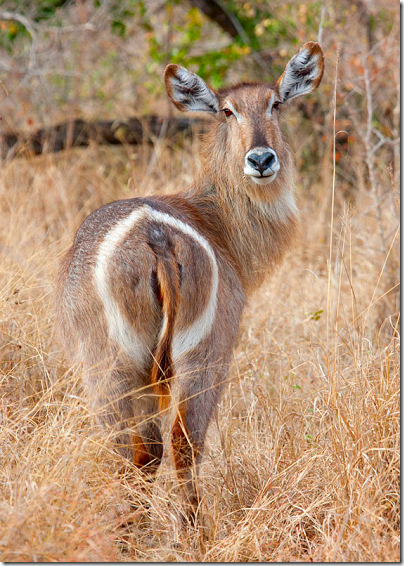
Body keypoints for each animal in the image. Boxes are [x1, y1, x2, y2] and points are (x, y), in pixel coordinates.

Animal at [56, 42, 326, 524]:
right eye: (227, 110)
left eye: (275, 104)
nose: (261, 159)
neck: (214, 221)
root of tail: (157, 237)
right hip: (192, 356)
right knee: (175, 444)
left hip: (126, 364)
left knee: (141, 450)